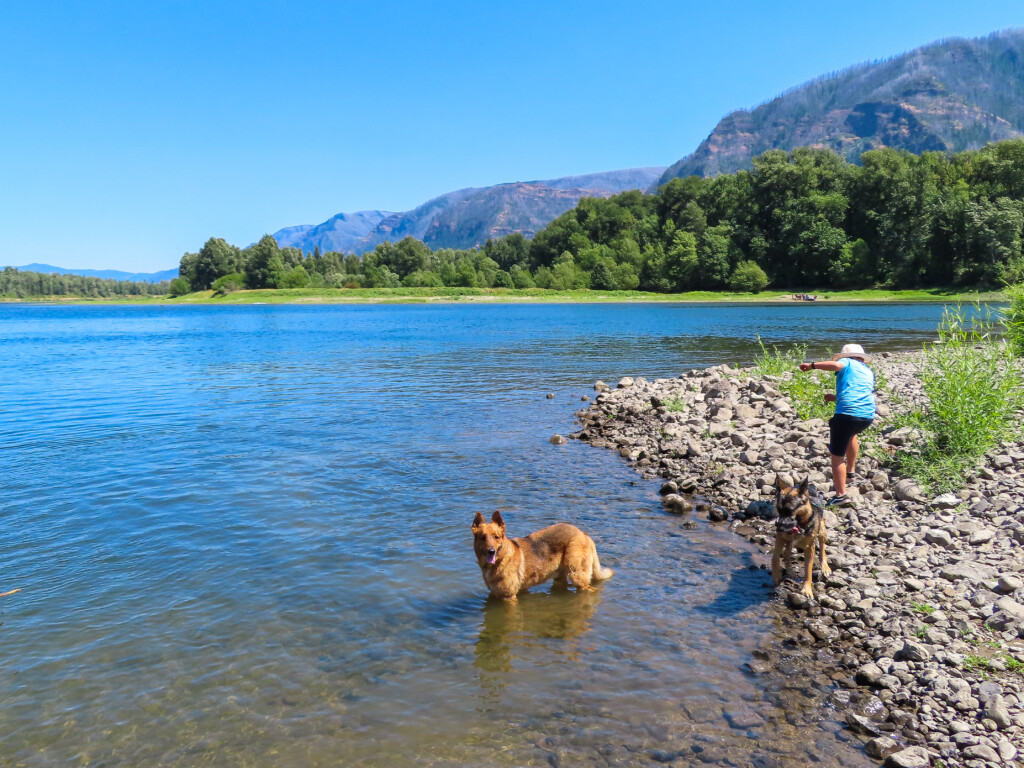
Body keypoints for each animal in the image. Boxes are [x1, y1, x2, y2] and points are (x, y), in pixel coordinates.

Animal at [473, 514, 614, 606]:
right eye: (483, 538)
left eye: (496, 537)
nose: (491, 552)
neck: (500, 560)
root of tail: (583, 533)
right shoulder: (495, 594)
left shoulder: (509, 597)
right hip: (559, 579)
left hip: (577, 576)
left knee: (591, 589)